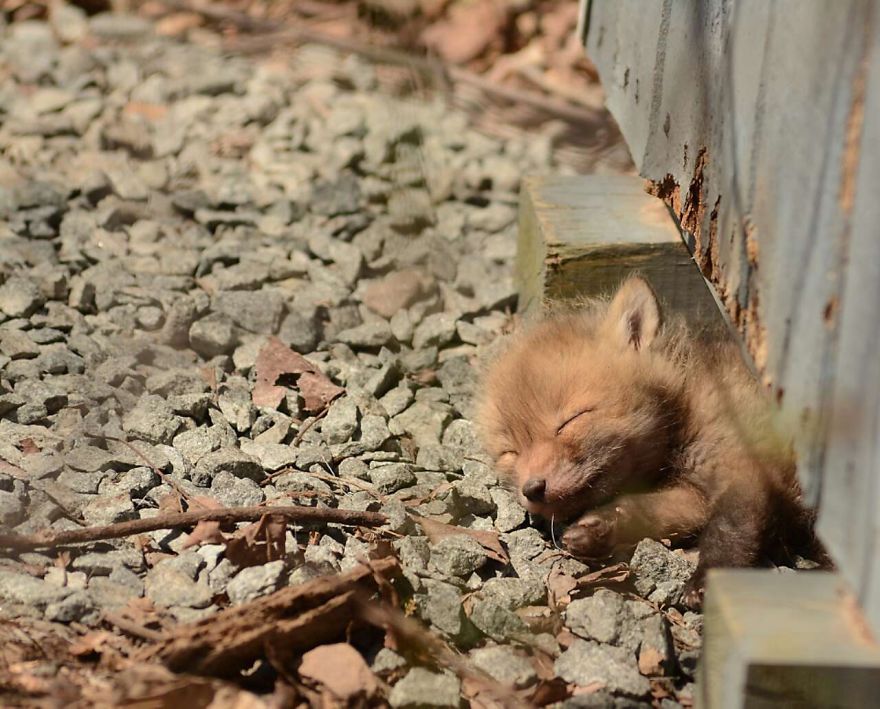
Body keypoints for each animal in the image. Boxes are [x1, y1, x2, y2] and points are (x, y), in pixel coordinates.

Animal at [477, 276, 824, 607]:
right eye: (510, 452)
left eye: (570, 421)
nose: (532, 489)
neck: (687, 406)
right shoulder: (693, 496)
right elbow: (645, 509)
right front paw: (601, 529)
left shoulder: (743, 468)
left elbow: (729, 530)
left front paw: (705, 582)